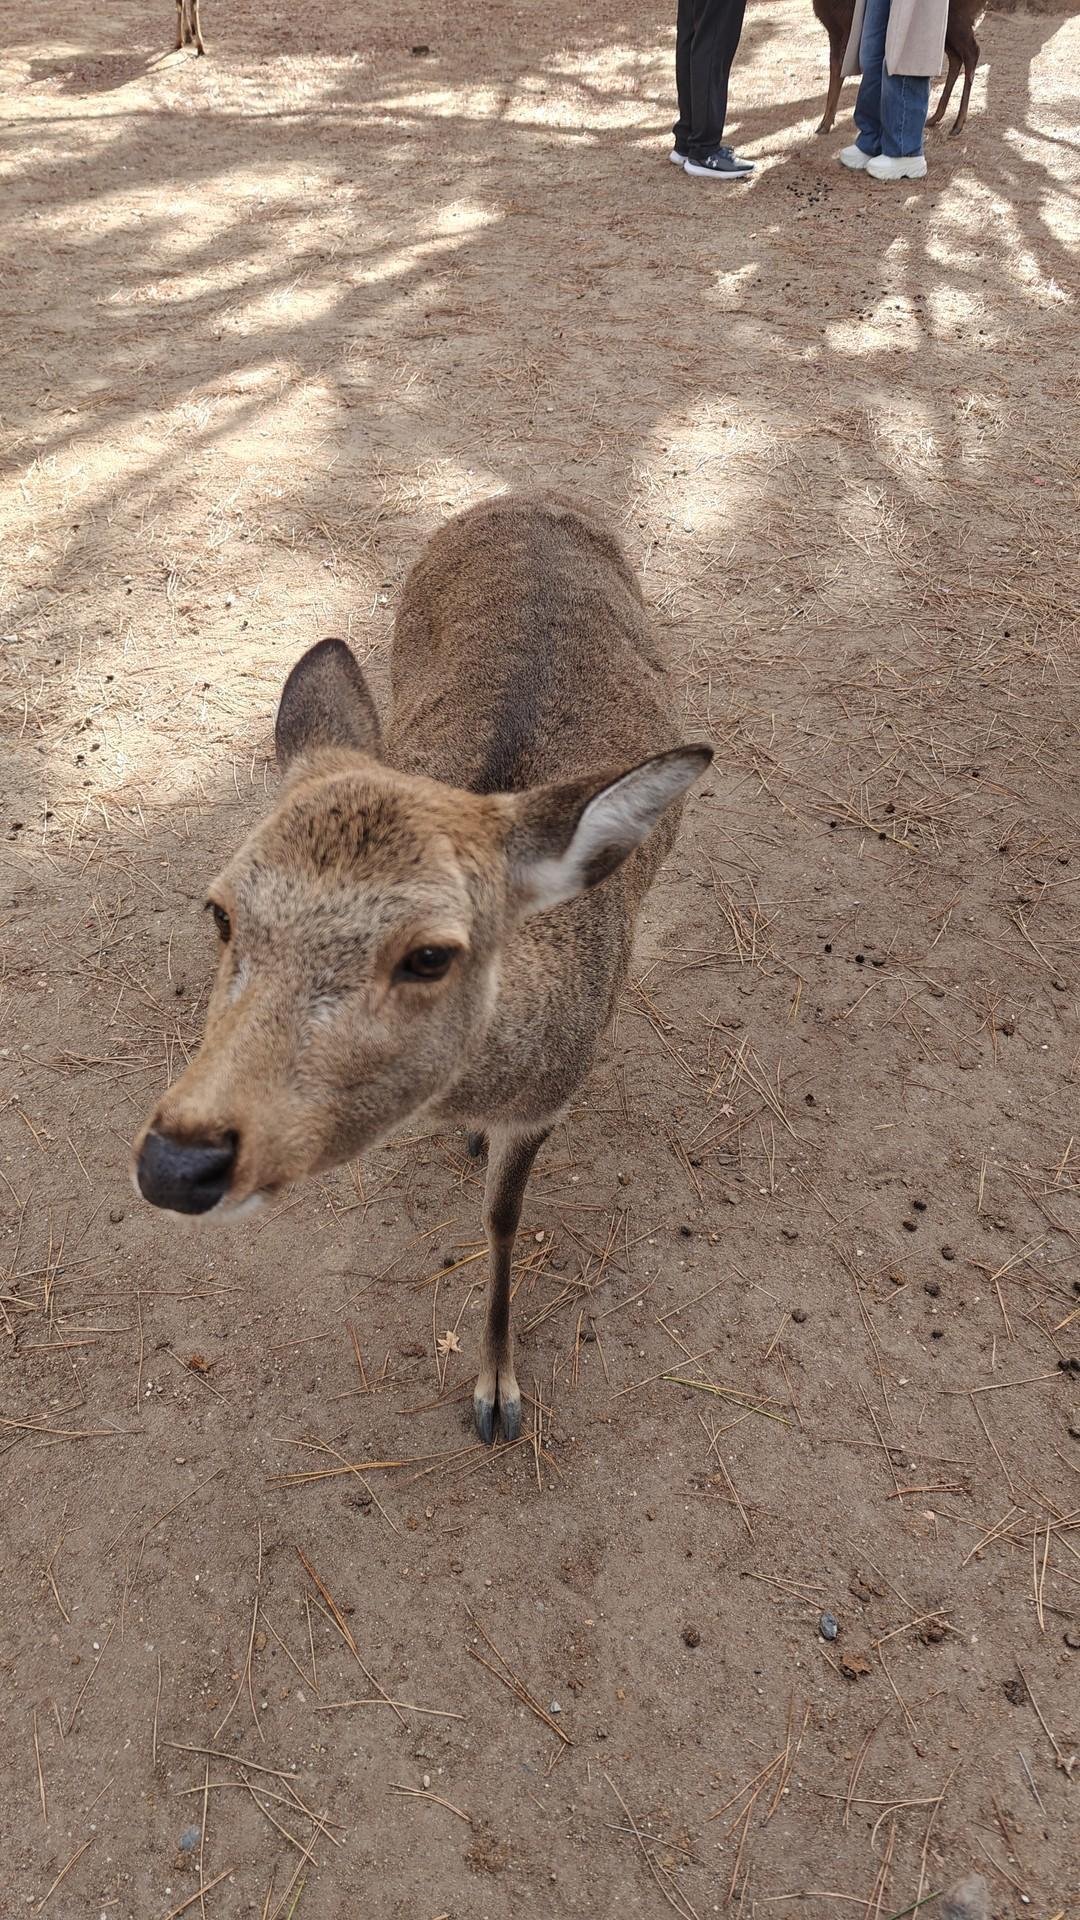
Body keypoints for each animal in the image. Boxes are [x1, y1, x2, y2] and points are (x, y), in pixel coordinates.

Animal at [132, 494, 712, 1444]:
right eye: (220, 912)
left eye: (430, 954)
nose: (177, 1164)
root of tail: (525, 497)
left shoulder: (550, 1100)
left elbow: (504, 1220)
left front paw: (498, 1395)